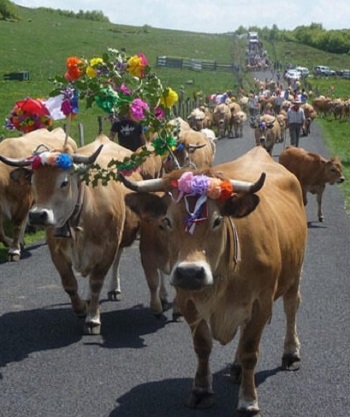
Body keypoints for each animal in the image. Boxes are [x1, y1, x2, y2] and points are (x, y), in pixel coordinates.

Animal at [119, 145, 306, 414]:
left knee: (291, 307)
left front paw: (248, 400)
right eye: (166, 221)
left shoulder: (262, 303)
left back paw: (291, 353)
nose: (190, 272)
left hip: (294, 272)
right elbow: (203, 347)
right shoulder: (188, 301)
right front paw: (201, 390)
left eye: (217, 220)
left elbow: (250, 351)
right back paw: (236, 367)